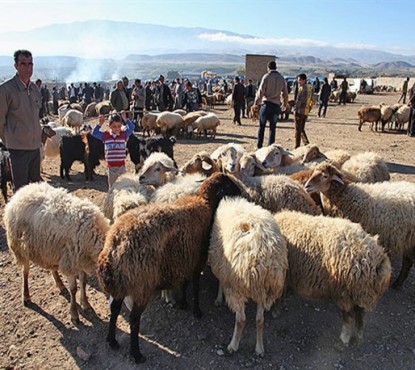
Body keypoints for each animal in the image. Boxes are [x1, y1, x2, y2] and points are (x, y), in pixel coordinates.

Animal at [3, 182, 110, 324]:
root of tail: (22, 191)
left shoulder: (80, 260)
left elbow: (83, 282)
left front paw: (86, 304)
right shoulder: (71, 262)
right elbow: (74, 289)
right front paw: (74, 314)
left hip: (49, 249)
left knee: (51, 267)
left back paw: (59, 283)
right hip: (21, 247)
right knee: (25, 272)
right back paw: (26, 296)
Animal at [97, 173, 242, 364]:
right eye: (229, 185)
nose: (242, 193)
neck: (205, 203)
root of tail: (114, 247)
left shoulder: (185, 259)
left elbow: (185, 283)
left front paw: (183, 303)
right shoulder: (197, 261)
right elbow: (195, 287)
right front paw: (196, 310)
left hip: (123, 285)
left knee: (114, 309)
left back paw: (112, 340)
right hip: (141, 285)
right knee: (134, 319)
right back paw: (136, 354)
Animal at [210, 197, 288, 356]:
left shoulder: (222, 266)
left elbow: (220, 282)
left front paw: (219, 298)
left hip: (239, 287)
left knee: (241, 320)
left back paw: (233, 345)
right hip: (263, 290)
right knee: (259, 320)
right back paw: (259, 348)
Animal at [274, 211, 392, 350]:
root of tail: (378, 259)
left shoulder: (282, 275)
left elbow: (279, 295)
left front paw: (276, 310)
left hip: (345, 292)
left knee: (350, 318)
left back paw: (343, 341)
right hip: (360, 292)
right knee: (361, 315)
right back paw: (358, 338)